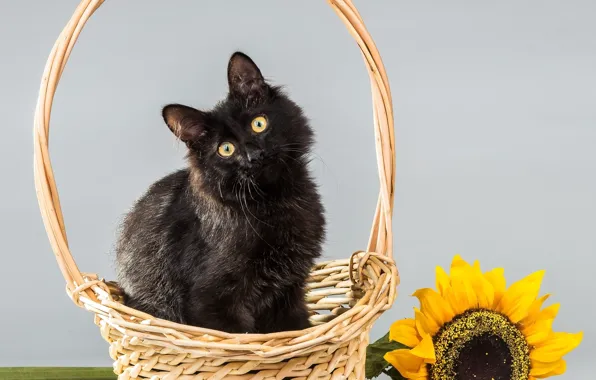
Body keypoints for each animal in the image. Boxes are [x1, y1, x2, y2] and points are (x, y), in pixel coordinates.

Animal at [116, 51, 326, 332]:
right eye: (225, 149)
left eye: (259, 124)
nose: (254, 155)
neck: (274, 200)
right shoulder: (211, 300)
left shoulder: (289, 290)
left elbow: (296, 327)